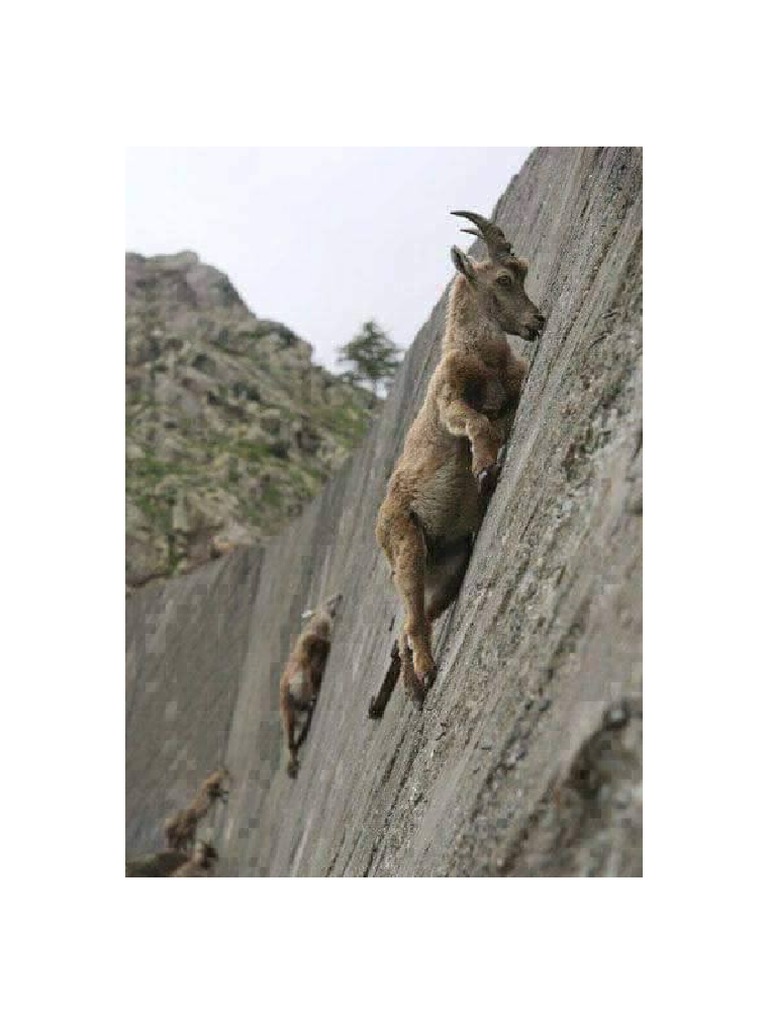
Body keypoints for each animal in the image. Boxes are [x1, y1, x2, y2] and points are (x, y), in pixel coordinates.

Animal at [373, 211, 545, 709]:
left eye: (523, 271)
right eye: (504, 278)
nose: (537, 321)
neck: (478, 354)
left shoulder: (511, 389)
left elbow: (499, 417)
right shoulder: (450, 403)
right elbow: (479, 425)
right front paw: (485, 469)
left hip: (449, 566)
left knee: (409, 627)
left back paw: (412, 686)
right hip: (407, 545)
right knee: (412, 621)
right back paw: (426, 675)